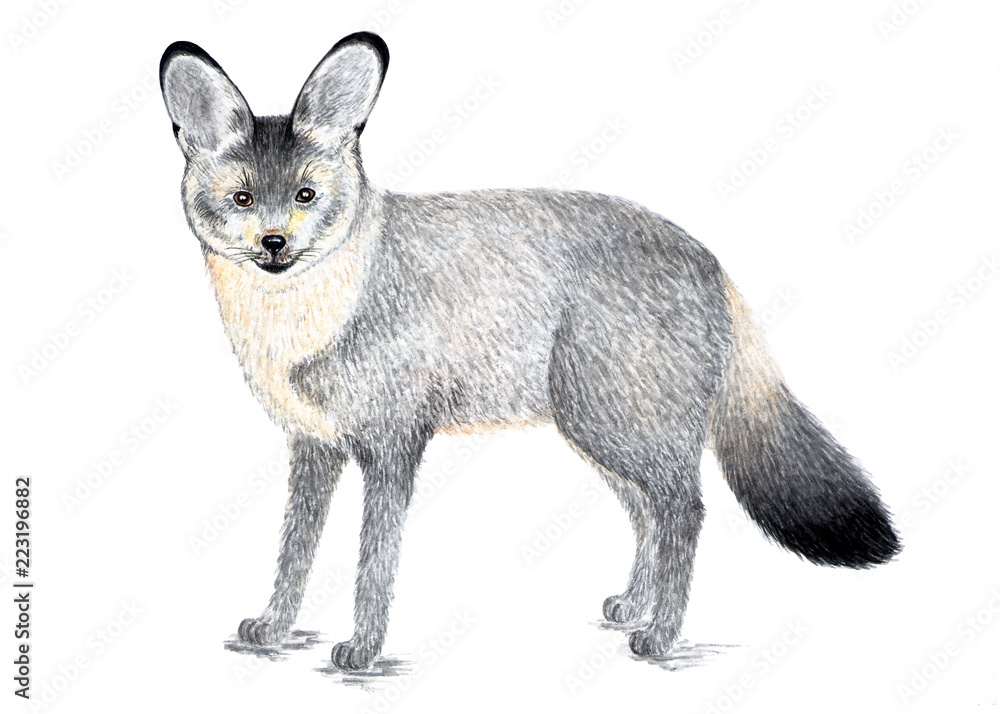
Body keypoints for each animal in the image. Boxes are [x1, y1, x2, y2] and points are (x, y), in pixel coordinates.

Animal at [160, 32, 900, 671]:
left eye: (306, 195)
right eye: (243, 198)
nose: (275, 244)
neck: (305, 323)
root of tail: (710, 259)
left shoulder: (393, 445)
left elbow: (374, 563)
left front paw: (363, 649)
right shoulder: (315, 447)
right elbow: (295, 554)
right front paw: (275, 628)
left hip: (614, 428)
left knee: (685, 511)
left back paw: (661, 635)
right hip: (600, 436)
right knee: (650, 514)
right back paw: (634, 608)